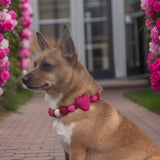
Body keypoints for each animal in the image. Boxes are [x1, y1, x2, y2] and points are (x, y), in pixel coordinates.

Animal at [22, 26, 160, 160]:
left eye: (46, 65)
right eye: (34, 64)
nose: (22, 79)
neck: (74, 104)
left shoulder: (77, 151)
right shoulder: (67, 152)